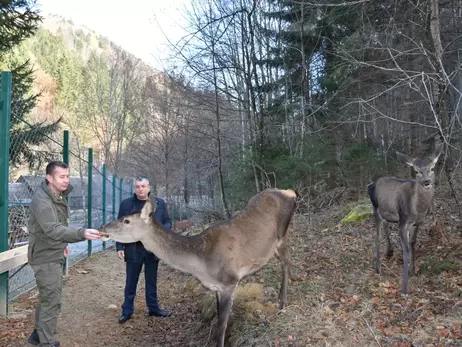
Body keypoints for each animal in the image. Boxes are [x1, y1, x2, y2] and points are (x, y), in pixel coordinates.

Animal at [99, 189, 298, 346]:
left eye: (126, 220)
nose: (102, 227)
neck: (202, 264)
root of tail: (291, 193)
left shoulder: (229, 281)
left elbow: (222, 325)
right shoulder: (216, 287)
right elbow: (217, 319)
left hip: (282, 235)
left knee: (287, 261)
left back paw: (282, 303)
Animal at [368, 140, 444, 294]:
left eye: (432, 168)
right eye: (416, 171)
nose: (427, 182)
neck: (417, 209)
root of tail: (371, 184)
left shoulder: (417, 223)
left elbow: (412, 243)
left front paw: (412, 271)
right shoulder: (403, 221)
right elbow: (406, 250)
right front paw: (405, 288)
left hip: (389, 213)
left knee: (386, 223)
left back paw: (389, 252)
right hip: (376, 208)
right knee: (377, 236)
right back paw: (378, 268)